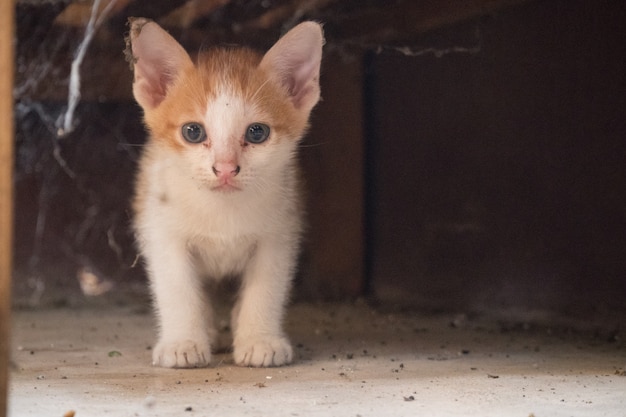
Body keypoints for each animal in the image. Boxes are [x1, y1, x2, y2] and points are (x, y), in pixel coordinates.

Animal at [125, 17, 324, 366]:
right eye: (193, 131)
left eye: (257, 132)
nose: (226, 168)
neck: (222, 211)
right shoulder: (161, 229)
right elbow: (177, 288)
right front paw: (183, 342)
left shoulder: (280, 232)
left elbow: (266, 288)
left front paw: (259, 339)